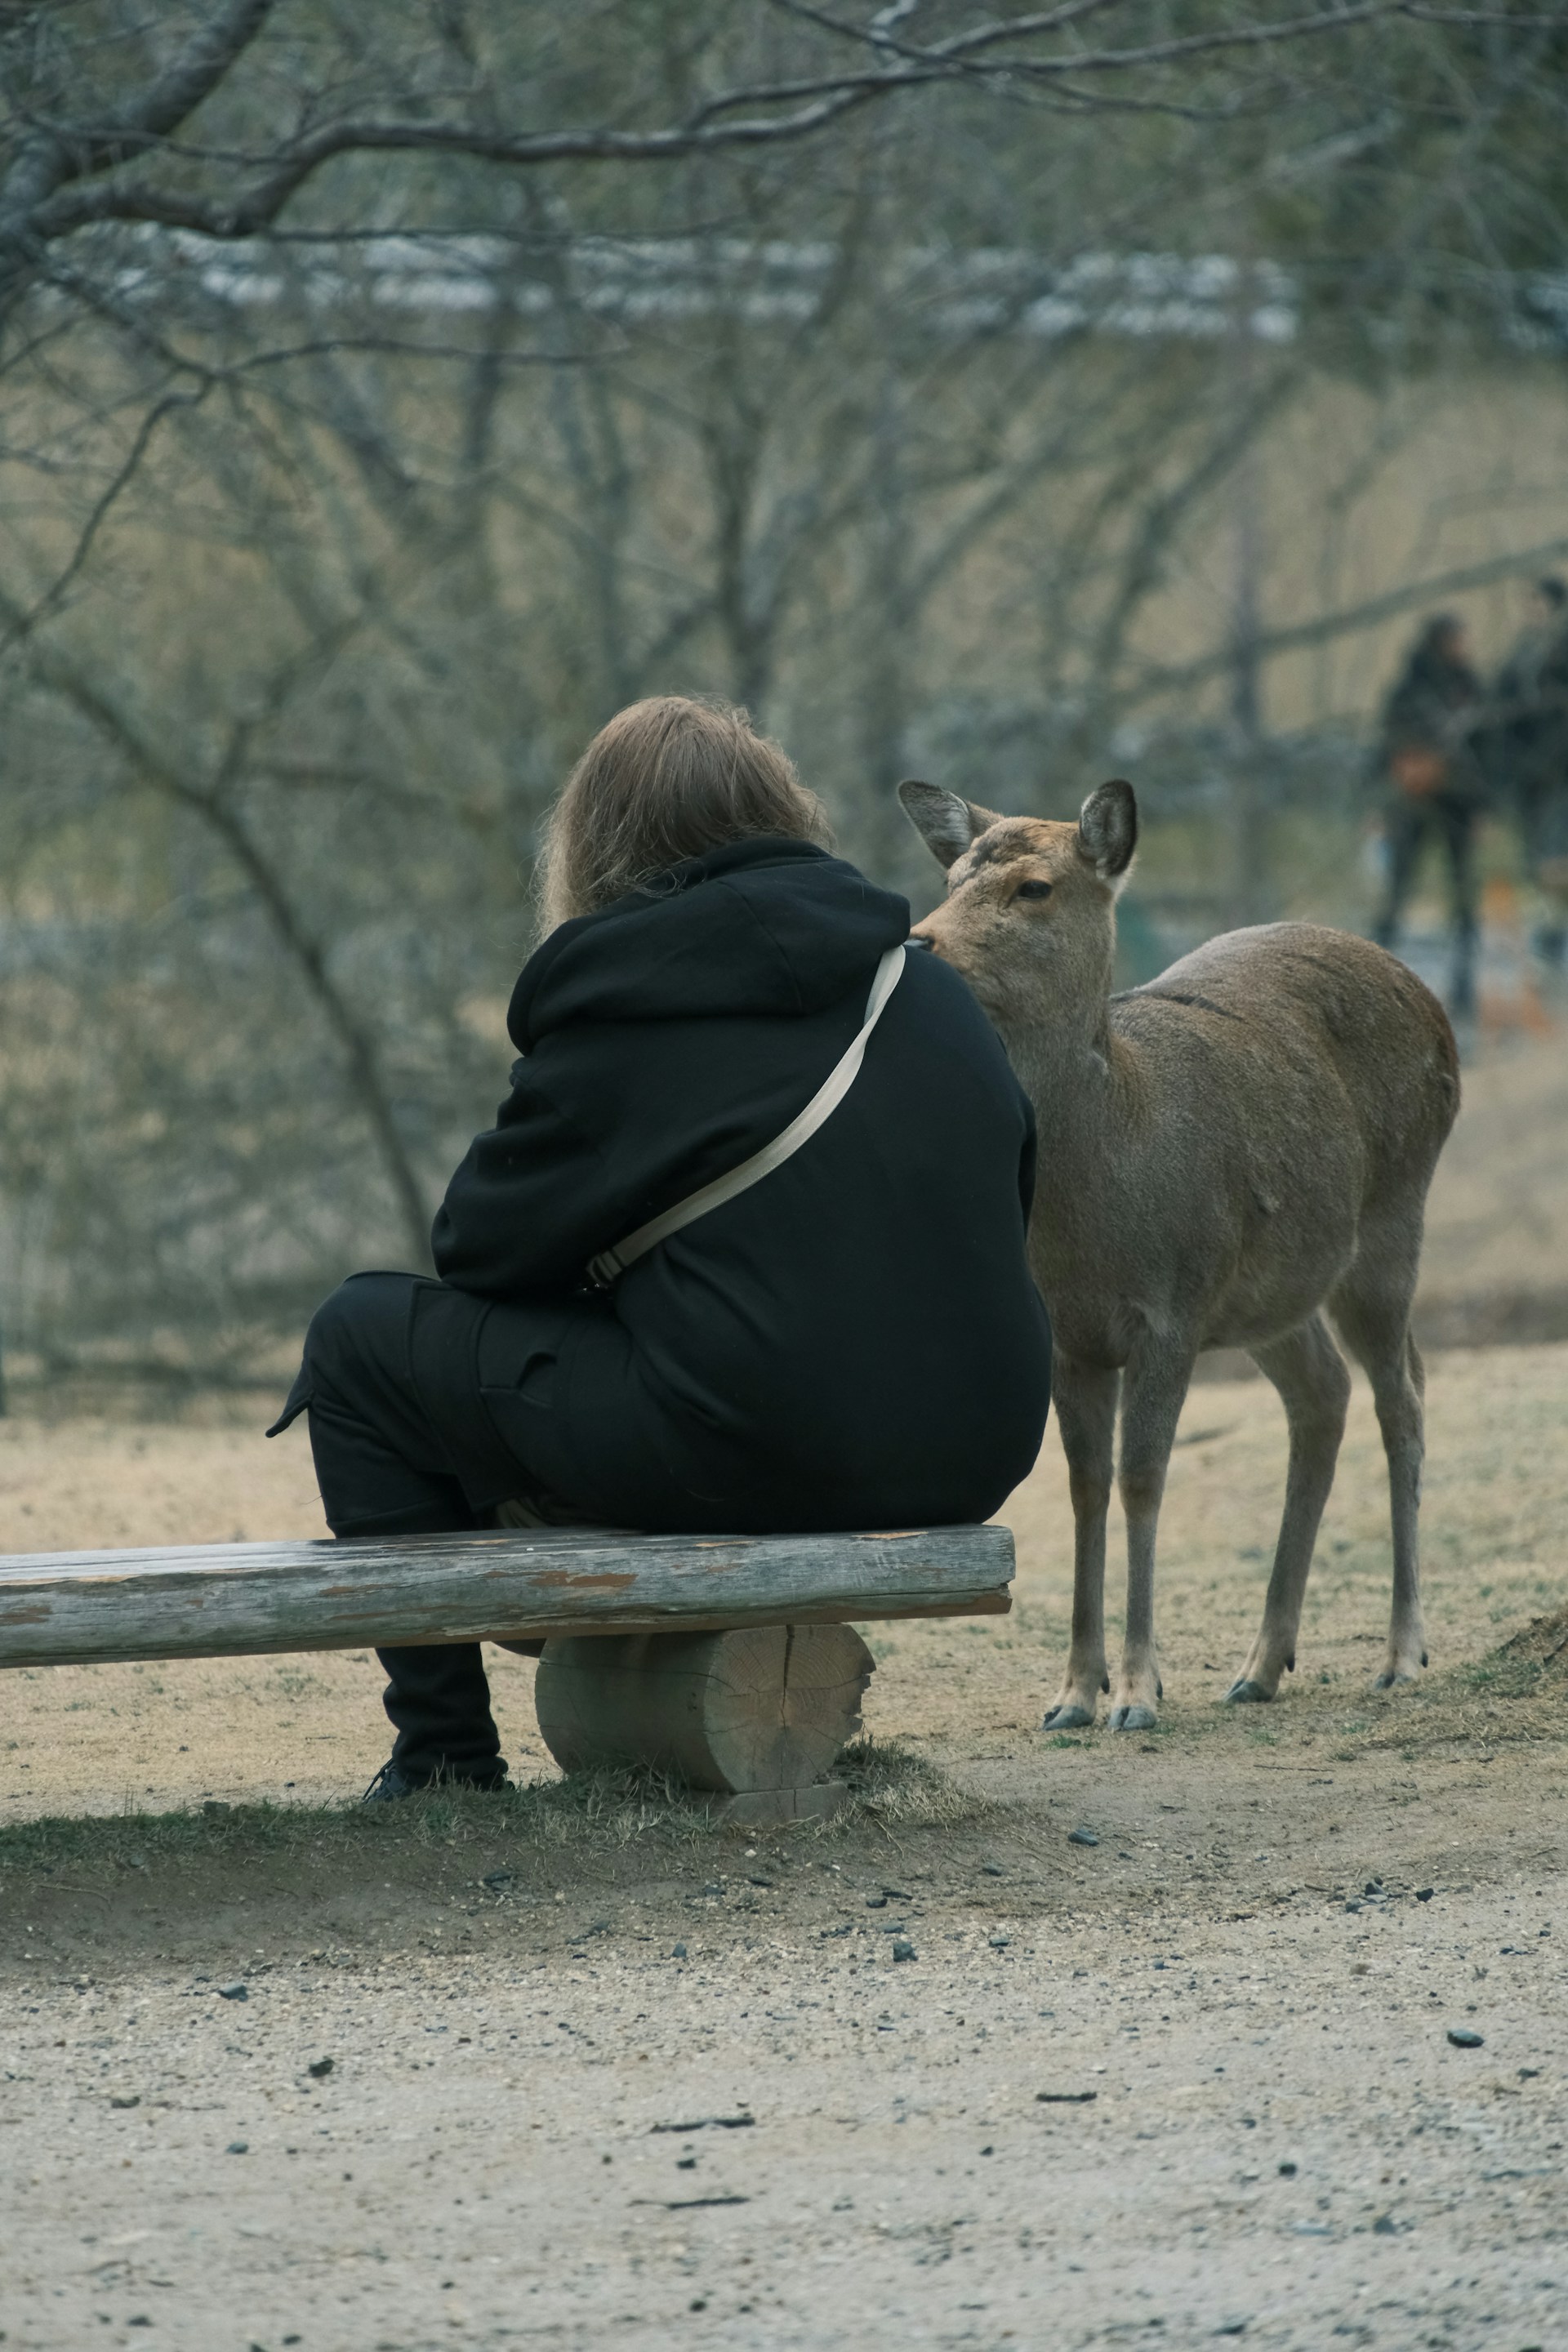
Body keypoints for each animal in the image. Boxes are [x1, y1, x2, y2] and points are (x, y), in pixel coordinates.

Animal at [901, 775, 1459, 1732]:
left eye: (1035, 887)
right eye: (953, 874)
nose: (919, 941)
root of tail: (1433, 1003)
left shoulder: (1171, 1306)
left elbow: (1142, 1478)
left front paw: (1134, 1692)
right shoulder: (1074, 1335)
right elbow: (1084, 1484)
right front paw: (1072, 1694)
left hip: (1391, 1220)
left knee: (1406, 1397)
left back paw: (1401, 1653)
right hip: (1271, 1291)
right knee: (1324, 1395)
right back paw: (1261, 1665)